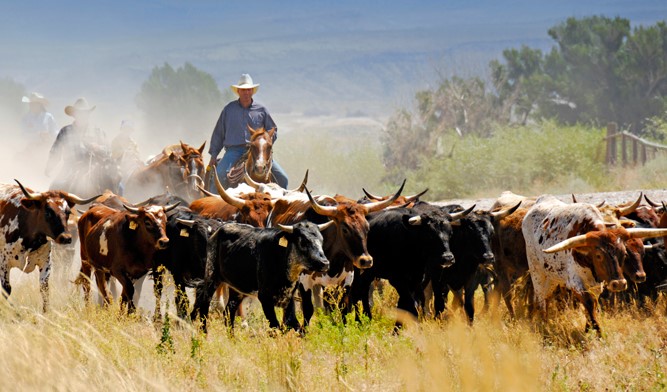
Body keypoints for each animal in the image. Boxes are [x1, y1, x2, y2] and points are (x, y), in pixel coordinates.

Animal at [0, 181, 98, 312]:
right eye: (48, 212)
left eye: (68, 212)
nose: (66, 238)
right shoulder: (4, 263)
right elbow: (6, 289)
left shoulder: (45, 262)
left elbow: (44, 289)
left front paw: (45, 312)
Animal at [192, 220, 332, 330]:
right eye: (303, 241)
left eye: (321, 240)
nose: (324, 263)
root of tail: (217, 231)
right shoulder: (265, 298)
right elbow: (276, 326)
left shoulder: (288, 299)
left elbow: (292, 324)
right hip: (211, 276)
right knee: (204, 307)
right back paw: (204, 335)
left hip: (237, 289)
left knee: (228, 312)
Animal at [520, 196, 667, 334]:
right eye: (598, 255)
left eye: (624, 253)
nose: (619, 284)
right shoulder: (575, 281)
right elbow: (589, 303)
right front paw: (597, 331)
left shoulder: (596, 284)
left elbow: (594, 303)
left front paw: (589, 327)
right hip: (537, 274)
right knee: (541, 300)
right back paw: (544, 326)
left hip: (553, 277)